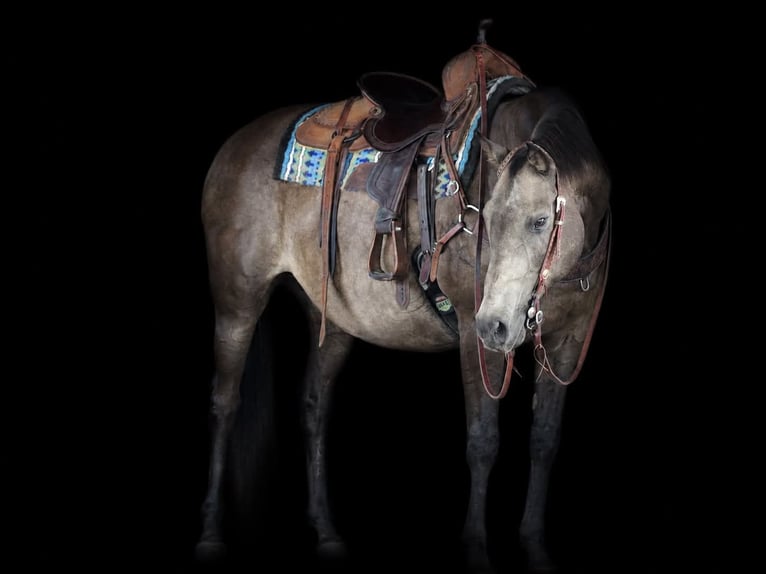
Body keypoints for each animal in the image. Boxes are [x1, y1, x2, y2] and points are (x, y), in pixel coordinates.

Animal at [195, 32, 611, 573]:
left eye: (541, 221)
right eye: (485, 218)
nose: (497, 325)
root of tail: (232, 147)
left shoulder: (568, 340)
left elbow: (543, 440)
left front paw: (536, 549)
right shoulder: (474, 338)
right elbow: (483, 440)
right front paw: (476, 550)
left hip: (329, 316)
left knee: (313, 407)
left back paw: (326, 532)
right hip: (237, 302)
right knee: (225, 403)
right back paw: (210, 533)